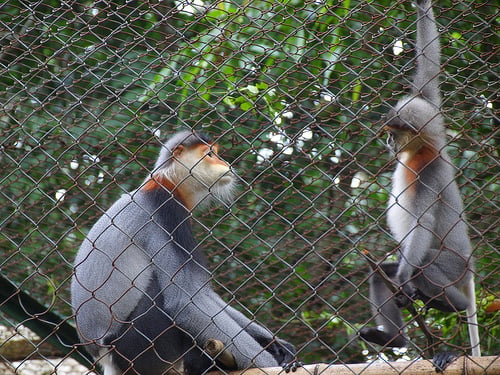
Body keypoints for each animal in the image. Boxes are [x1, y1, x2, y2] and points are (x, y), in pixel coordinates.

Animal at [70, 131, 296, 375]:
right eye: (210, 154)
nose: (224, 163)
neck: (166, 183)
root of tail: (104, 357)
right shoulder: (167, 210)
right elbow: (186, 301)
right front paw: (269, 363)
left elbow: (204, 294)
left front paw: (277, 345)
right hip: (138, 349)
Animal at [360, 0, 480, 368]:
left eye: (393, 135)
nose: (387, 143)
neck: (424, 151)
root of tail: (470, 271)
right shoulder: (430, 104)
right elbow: (430, 68)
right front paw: (423, 6)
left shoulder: (429, 171)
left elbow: (422, 221)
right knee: (381, 273)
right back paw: (393, 338)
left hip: (454, 268)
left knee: (422, 262)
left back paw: (447, 303)